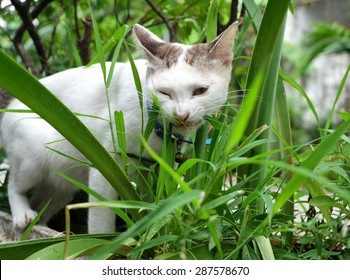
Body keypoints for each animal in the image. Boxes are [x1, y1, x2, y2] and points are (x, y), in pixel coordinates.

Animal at [0, 21, 238, 233]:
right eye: (164, 92)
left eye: (200, 90)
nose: (181, 114)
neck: (156, 127)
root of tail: (11, 101)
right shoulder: (106, 163)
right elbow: (101, 217)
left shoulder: (156, 168)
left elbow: (149, 203)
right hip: (32, 156)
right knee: (14, 184)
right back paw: (22, 216)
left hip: (63, 181)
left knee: (45, 202)